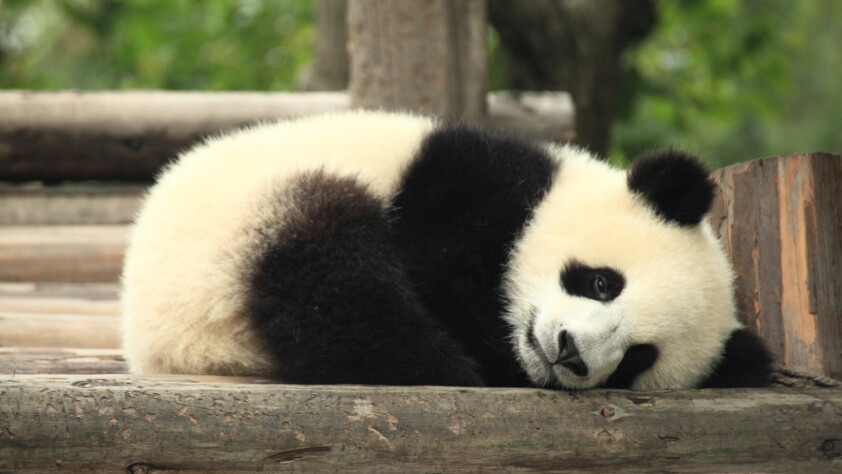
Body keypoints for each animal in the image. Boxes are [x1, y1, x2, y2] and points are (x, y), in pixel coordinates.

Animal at [121, 110, 773, 390]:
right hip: (236, 233)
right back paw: (442, 366)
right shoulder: (466, 185)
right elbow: (437, 273)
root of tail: (150, 342)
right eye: (602, 282)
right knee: (334, 278)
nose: (569, 354)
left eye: (639, 358)